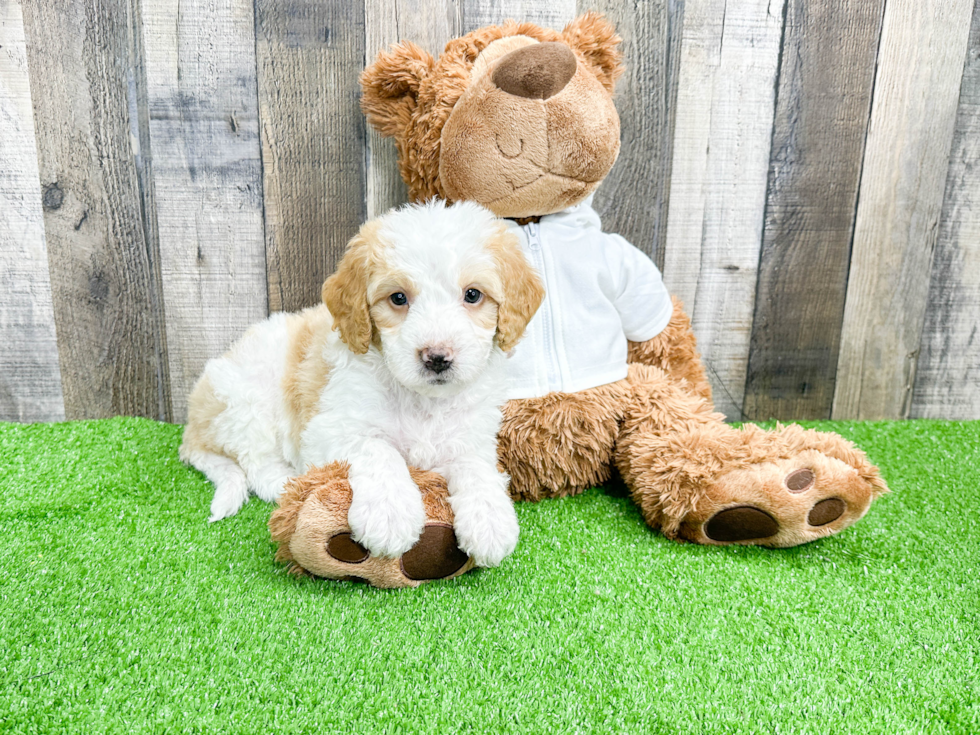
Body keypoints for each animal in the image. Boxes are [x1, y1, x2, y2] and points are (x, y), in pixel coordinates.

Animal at [182, 201, 544, 568]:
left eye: (473, 294)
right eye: (398, 298)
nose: (437, 357)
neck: (422, 400)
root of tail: (193, 426)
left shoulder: (471, 436)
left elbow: (475, 465)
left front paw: (490, 520)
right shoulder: (330, 428)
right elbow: (378, 448)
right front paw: (389, 514)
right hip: (247, 402)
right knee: (255, 463)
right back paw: (287, 481)